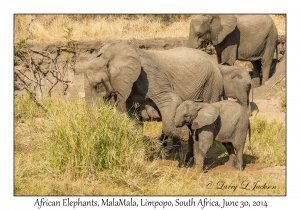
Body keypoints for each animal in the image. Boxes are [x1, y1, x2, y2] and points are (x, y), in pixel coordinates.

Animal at [84, 41, 223, 141]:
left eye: (98, 86)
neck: (108, 57)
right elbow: (133, 117)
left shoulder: (150, 77)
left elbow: (170, 100)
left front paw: (185, 132)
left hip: (212, 85)